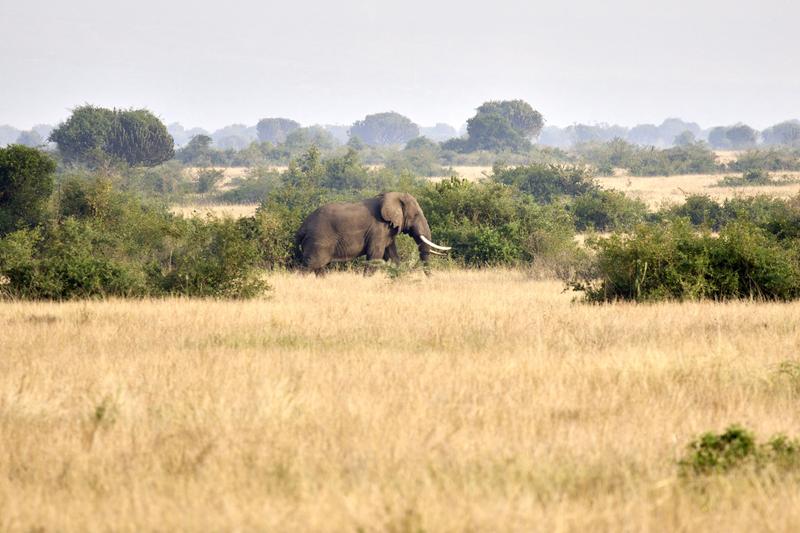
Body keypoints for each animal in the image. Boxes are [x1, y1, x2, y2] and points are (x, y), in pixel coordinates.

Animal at [296, 191, 454, 274]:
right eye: (416, 215)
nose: (430, 279)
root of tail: (301, 228)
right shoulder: (378, 228)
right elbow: (375, 255)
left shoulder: (388, 231)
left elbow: (392, 256)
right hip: (318, 241)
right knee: (309, 266)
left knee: (319, 268)